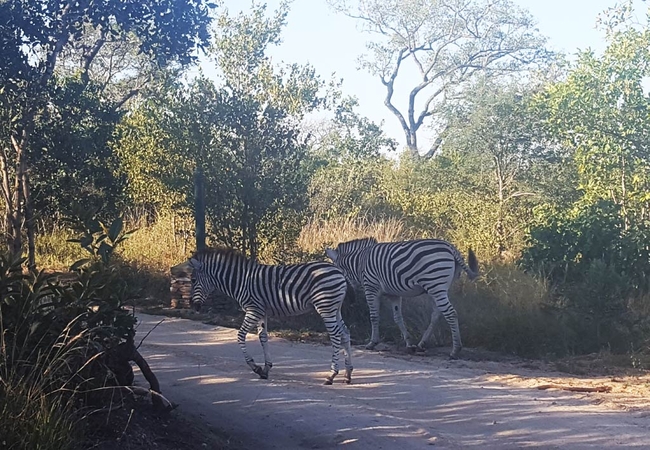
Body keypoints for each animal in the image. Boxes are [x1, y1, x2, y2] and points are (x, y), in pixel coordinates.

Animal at [187, 248, 352, 384]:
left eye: (193, 280)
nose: (193, 306)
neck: (240, 281)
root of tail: (338, 271)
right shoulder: (261, 312)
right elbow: (263, 337)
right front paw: (266, 369)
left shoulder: (253, 309)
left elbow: (240, 335)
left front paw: (255, 367)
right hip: (335, 309)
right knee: (345, 333)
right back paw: (348, 374)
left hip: (325, 307)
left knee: (335, 335)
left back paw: (331, 375)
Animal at [324, 239, 476, 358]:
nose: (350, 297)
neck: (359, 263)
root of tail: (451, 247)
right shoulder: (394, 294)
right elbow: (398, 318)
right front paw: (409, 343)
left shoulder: (371, 288)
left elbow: (374, 316)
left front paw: (372, 343)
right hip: (438, 288)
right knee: (436, 314)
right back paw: (421, 344)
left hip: (436, 285)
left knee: (450, 313)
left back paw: (455, 350)